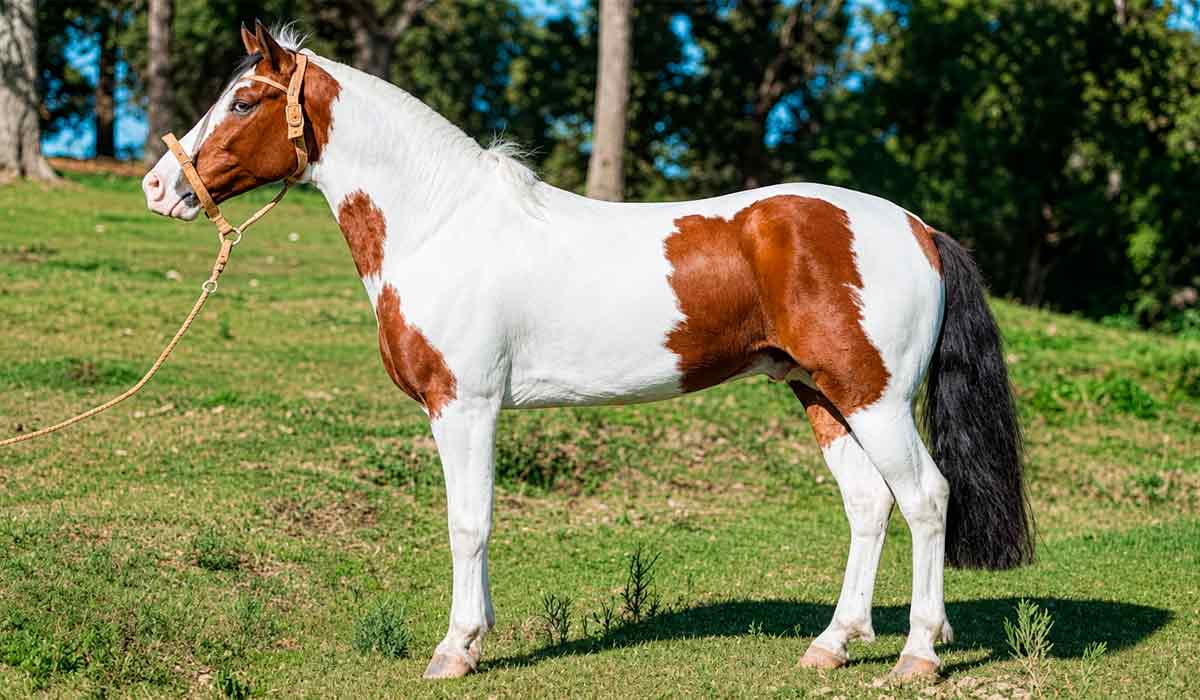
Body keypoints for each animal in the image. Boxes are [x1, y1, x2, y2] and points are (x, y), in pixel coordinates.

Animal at [142, 22, 1033, 681]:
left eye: (244, 100)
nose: (159, 186)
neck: (441, 224)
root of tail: (917, 227)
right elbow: (478, 518)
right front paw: (476, 637)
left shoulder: (463, 406)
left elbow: (467, 521)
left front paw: (455, 650)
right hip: (823, 396)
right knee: (869, 505)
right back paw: (831, 646)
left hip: (873, 397)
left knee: (926, 499)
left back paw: (918, 655)